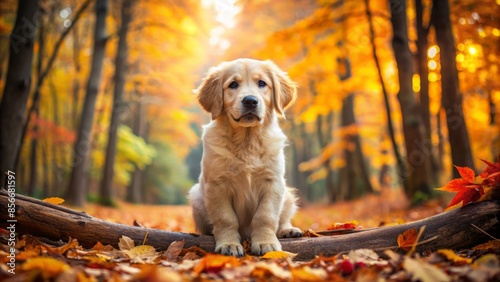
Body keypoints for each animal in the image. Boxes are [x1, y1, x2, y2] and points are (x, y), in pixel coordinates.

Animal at [189, 57, 302, 256]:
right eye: (233, 84)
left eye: (262, 83)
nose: (250, 101)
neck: (247, 141)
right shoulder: (217, 184)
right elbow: (226, 218)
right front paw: (229, 244)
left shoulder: (273, 182)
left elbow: (265, 215)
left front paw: (265, 242)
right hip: (196, 196)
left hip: (287, 195)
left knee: (283, 219)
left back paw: (288, 230)